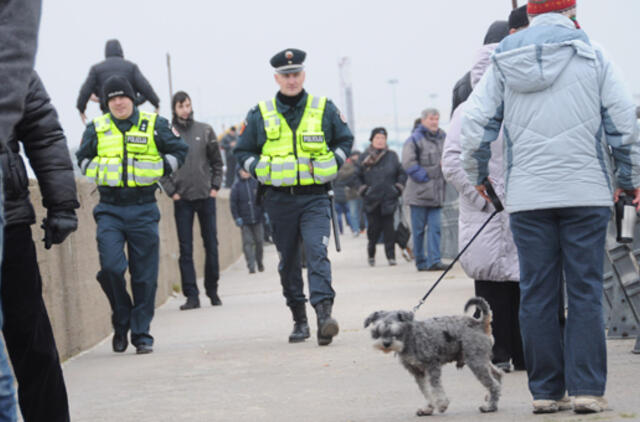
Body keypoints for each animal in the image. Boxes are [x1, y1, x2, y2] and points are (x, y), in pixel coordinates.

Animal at [362, 296, 502, 416]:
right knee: (497, 374)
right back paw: (490, 398)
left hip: (475, 361)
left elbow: (435, 388)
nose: (386, 344)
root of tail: (480, 323)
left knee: (493, 383)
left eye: (396, 330)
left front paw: (442, 405)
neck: (411, 337)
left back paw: (490, 406)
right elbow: (426, 390)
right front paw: (427, 408)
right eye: (377, 331)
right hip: (482, 359)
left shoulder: (432, 366)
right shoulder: (417, 371)